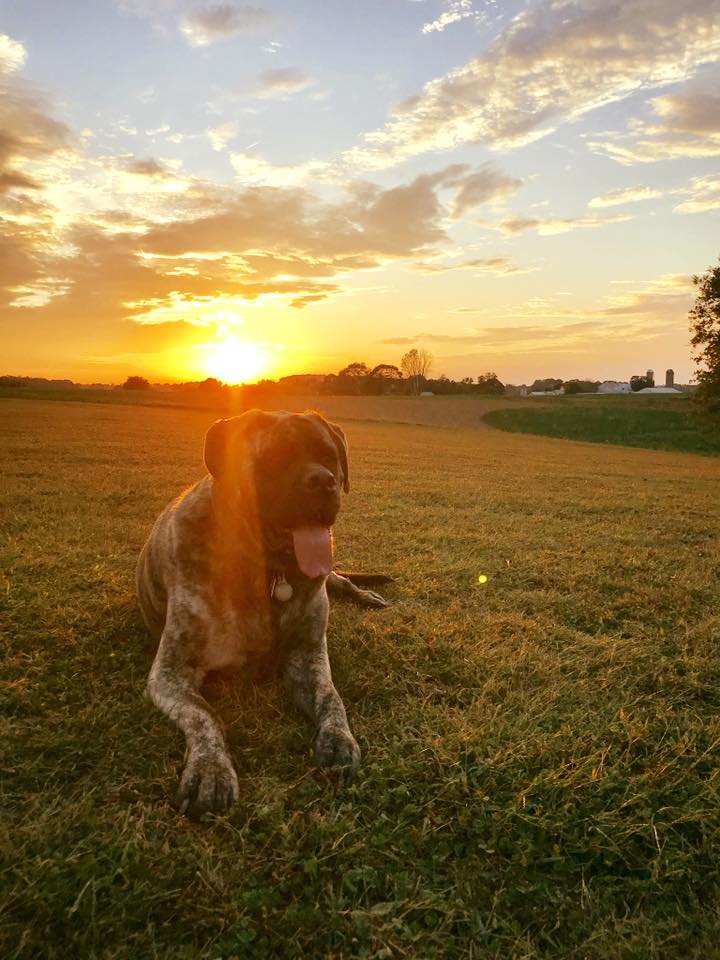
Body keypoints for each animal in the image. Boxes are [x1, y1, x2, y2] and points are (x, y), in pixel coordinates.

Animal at [135, 408, 388, 820]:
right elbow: (205, 714)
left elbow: (331, 696)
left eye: (329, 456)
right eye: (275, 457)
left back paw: (367, 594)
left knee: (341, 579)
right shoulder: (172, 673)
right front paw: (210, 770)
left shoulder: (306, 655)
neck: (269, 569)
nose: (322, 480)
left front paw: (338, 739)